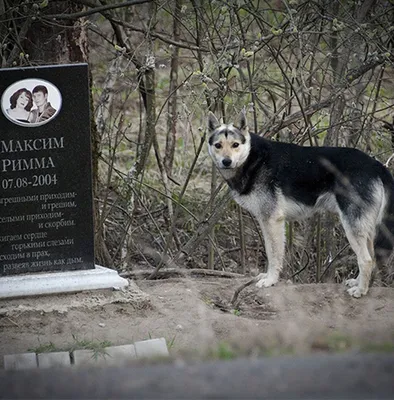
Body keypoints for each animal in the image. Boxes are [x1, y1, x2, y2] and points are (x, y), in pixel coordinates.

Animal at [206, 109, 394, 296]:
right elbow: (271, 251)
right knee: (372, 257)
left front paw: (270, 280)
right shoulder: (267, 222)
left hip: (352, 226)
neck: (252, 158)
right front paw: (268, 277)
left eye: (235, 145)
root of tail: (377, 165)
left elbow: (273, 254)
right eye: (218, 145)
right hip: (365, 228)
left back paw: (360, 291)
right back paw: (358, 283)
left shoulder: (272, 221)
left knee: (366, 260)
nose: (226, 161)